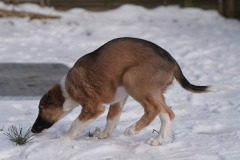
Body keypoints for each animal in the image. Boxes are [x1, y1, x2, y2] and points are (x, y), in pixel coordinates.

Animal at [31, 37, 230, 146]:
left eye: (41, 109)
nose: (32, 130)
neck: (67, 89)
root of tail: (172, 61)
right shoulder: (118, 99)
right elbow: (111, 119)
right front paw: (103, 135)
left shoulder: (93, 107)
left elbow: (76, 123)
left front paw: (65, 137)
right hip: (154, 91)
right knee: (167, 113)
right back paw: (157, 141)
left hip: (132, 79)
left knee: (153, 109)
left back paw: (132, 130)